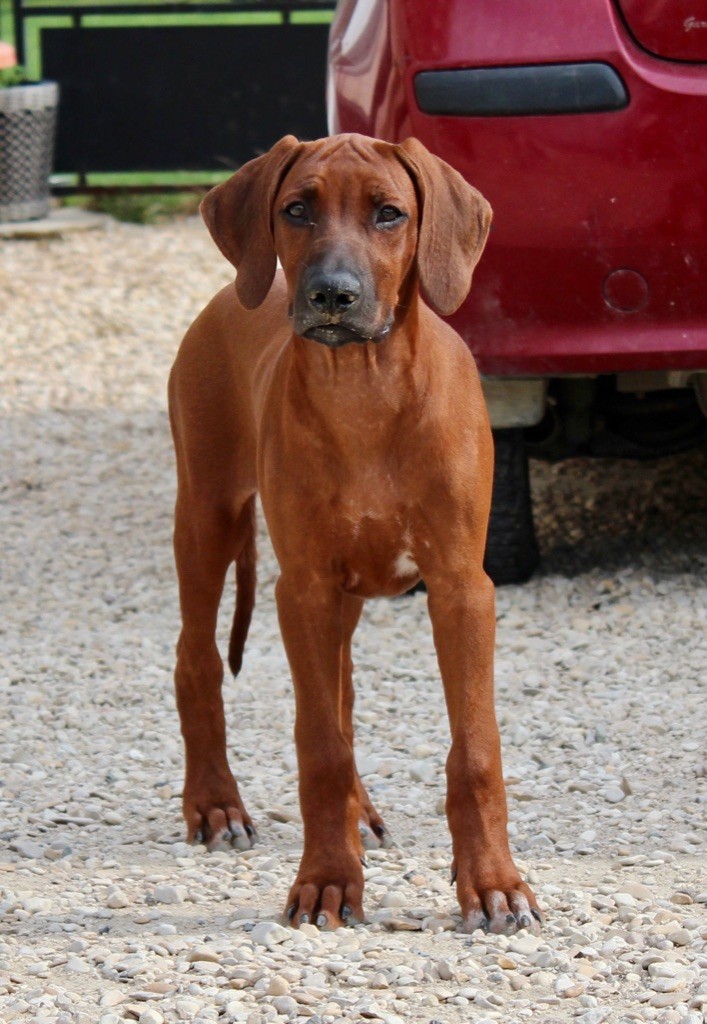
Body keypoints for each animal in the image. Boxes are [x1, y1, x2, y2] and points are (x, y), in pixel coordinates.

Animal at [167, 132, 541, 933]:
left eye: (389, 213)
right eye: (297, 209)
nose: (331, 295)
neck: (364, 390)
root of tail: (227, 296)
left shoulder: (461, 588)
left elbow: (473, 749)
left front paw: (493, 883)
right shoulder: (302, 588)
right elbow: (320, 749)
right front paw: (328, 881)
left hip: (339, 599)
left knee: (338, 695)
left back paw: (359, 813)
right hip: (209, 515)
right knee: (197, 660)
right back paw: (216, 805)